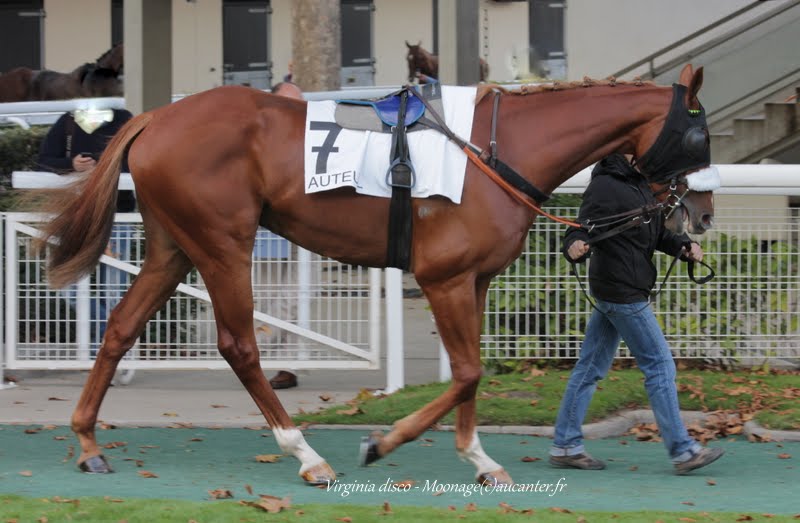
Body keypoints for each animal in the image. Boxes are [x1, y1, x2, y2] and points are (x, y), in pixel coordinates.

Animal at [34, 64, 716, 488]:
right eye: (699, 135)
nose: (703, 214)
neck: (498, 150)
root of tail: (154, 118)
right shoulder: (443, 276)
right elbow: (466, 372)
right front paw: (383, 443)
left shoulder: (474, 279)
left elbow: (470, 374)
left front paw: (480, 459)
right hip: (223, 243)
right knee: (239, 345)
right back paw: (305, 454)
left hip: (174, 245)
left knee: (121, 326)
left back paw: (89, 444)